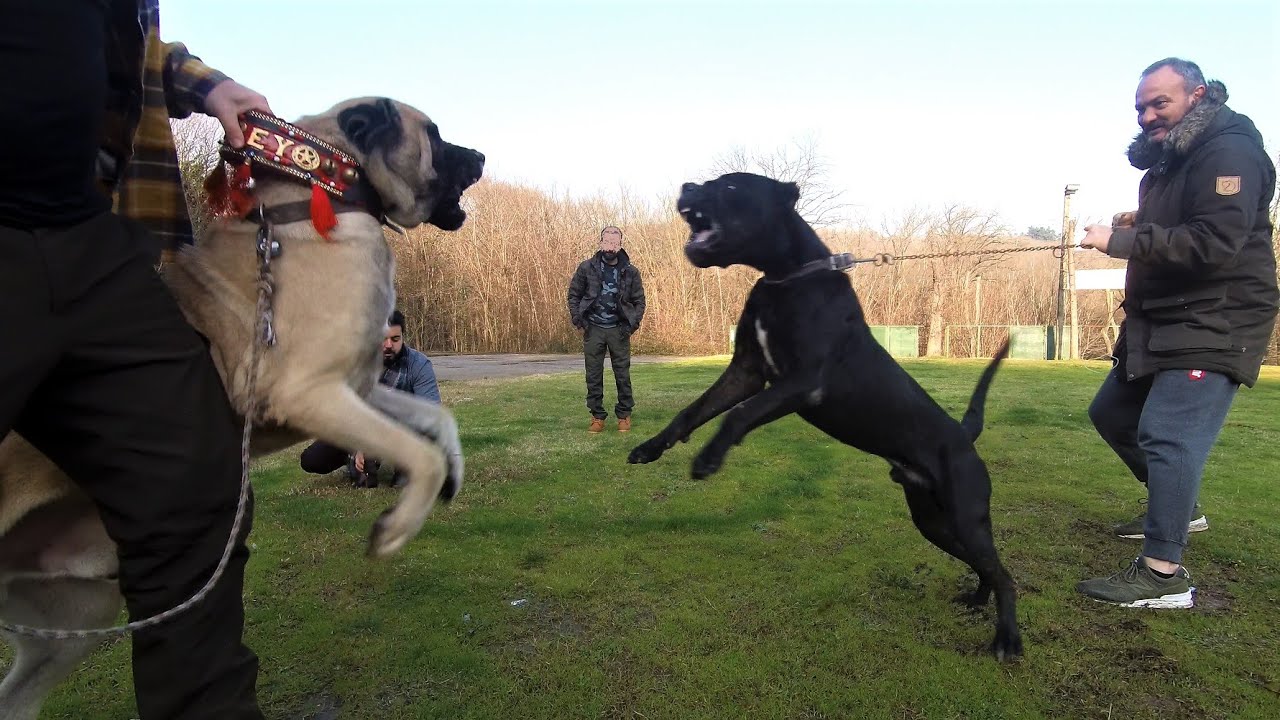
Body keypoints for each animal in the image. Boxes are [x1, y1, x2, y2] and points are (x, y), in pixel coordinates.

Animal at [0, 98, 483, 712]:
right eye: (436, 135)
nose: (480, 157)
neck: (327, 192)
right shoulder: (312, 393)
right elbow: (420, 455)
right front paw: (395, 529)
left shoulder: (357, 387)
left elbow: (435, 418)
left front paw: (453, 471)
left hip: (76, 614)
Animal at [624, 170, 1024, 661]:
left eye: (732, 187)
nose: (687, 186)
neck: (786, 277)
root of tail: (964, 436)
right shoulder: (746, 373)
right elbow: (695, 410)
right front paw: (651, 447)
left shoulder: (802, 382)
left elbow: (737, 416)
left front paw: (708, 459)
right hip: (933, 521)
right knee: (988, 569)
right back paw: (977, 600)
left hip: (966, 517)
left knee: (1005, 574)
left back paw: (1007, 639)